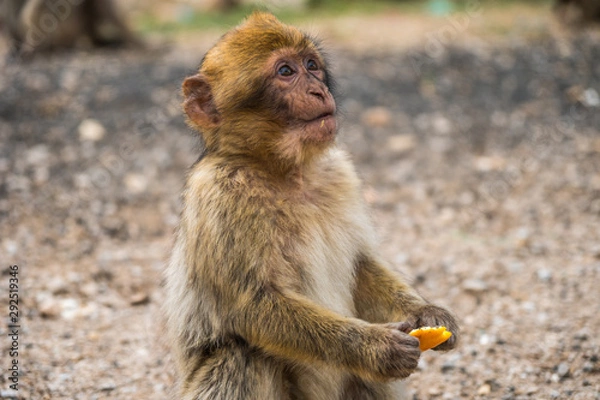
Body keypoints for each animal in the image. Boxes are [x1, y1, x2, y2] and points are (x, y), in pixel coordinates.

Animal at [164, 12, 460, 400]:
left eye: (311, 66)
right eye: (285, 71)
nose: (319, 90)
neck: (287, 174)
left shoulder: (340, 172)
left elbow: (361, 266)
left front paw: (426, 312)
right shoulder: (220, 195)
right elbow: (252, 306)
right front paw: (375, 348)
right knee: (241, 355)